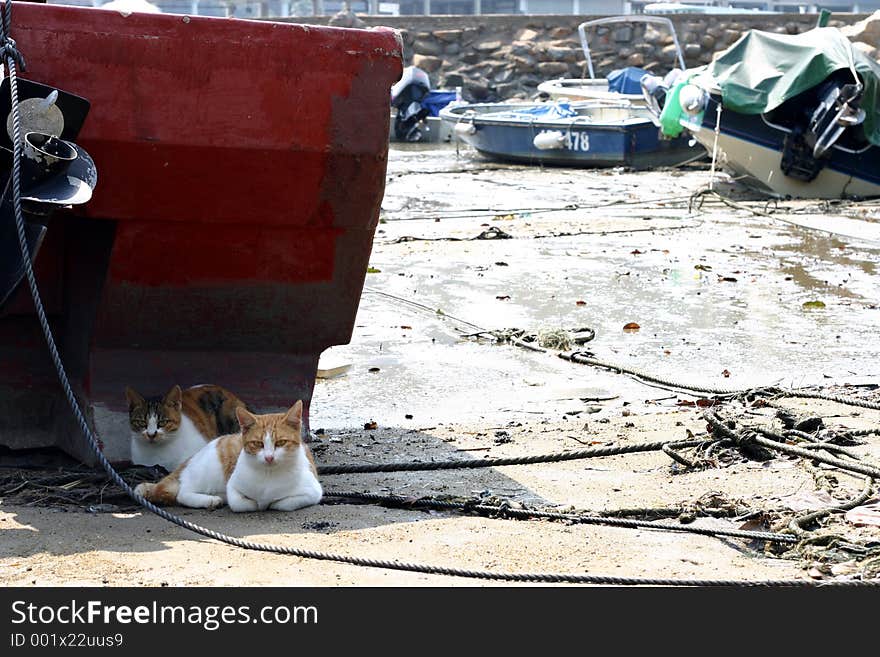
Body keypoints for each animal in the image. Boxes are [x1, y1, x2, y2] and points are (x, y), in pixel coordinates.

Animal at [134, 400, 320, 512]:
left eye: (281, 443)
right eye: (258, 443)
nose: (269, 458)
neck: (269, 476)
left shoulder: (312, 493)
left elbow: (282, 503)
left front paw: (269, 502)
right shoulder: (233, 487)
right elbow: (242, 503)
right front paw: (257, 503)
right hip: (207, 472)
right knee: (182, 492)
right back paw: (209, 500)